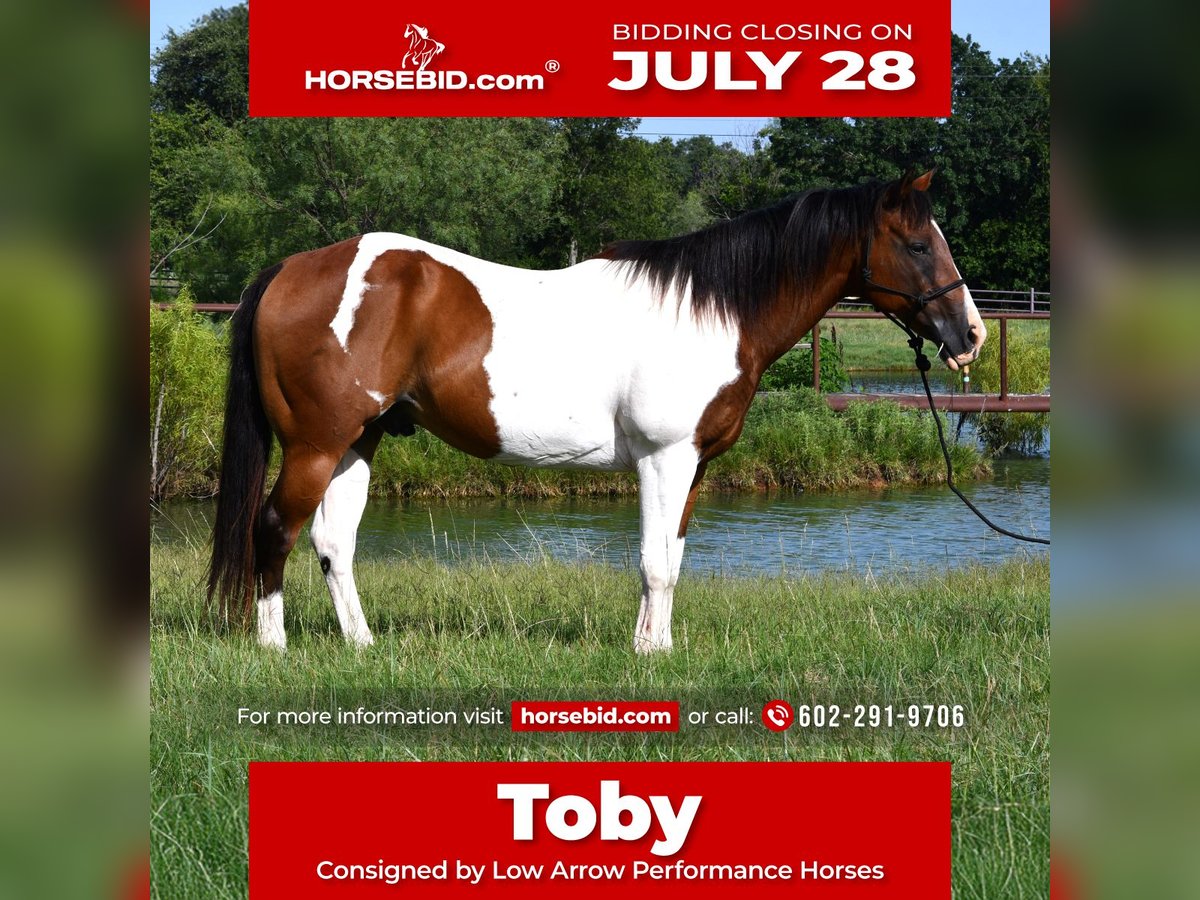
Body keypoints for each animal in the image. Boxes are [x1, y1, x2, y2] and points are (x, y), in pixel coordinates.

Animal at [207, 170, 986, 652]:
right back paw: (274, 645)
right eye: (919, 244)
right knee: (272, 529)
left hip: (356, 442)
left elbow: (672, 556)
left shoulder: (694, 467)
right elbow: (653, 561)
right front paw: (650, 656)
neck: (706, 310)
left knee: (333, 543)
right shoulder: (664, 459)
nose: (970, 335)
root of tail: (291, 268)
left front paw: (656, 645)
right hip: (314, 444)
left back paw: (364, 645)